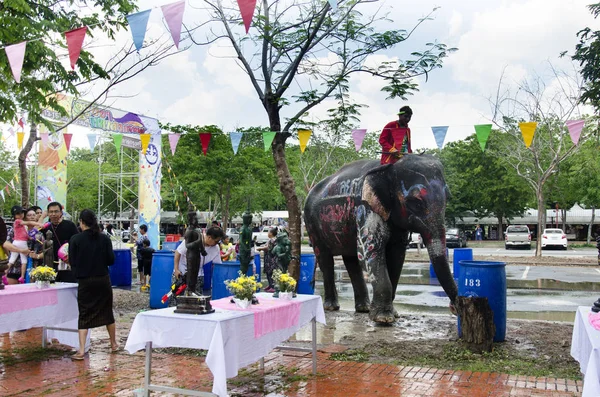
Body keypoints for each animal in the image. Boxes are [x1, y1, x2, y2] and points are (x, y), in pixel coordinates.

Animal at [302, 153, 458, 324]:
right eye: (415, 202)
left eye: (449, 198)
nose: (454, 307)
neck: (388, 167)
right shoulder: (364, 207)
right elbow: (372, 248)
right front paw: (383, 319)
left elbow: (396, 255)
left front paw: (393, 315)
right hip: (311, 224)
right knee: (326, 259)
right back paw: (332, 307)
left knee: (352, 260)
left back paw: (363, 308)